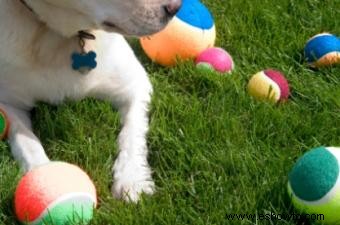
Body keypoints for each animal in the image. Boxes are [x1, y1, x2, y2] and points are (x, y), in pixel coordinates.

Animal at [0, 0, 182, 203]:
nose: (175, 8)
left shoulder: (137, 85)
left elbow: (132, 134)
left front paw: (132, 179)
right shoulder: (8, 102)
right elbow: (26, 142)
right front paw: (44, 181)